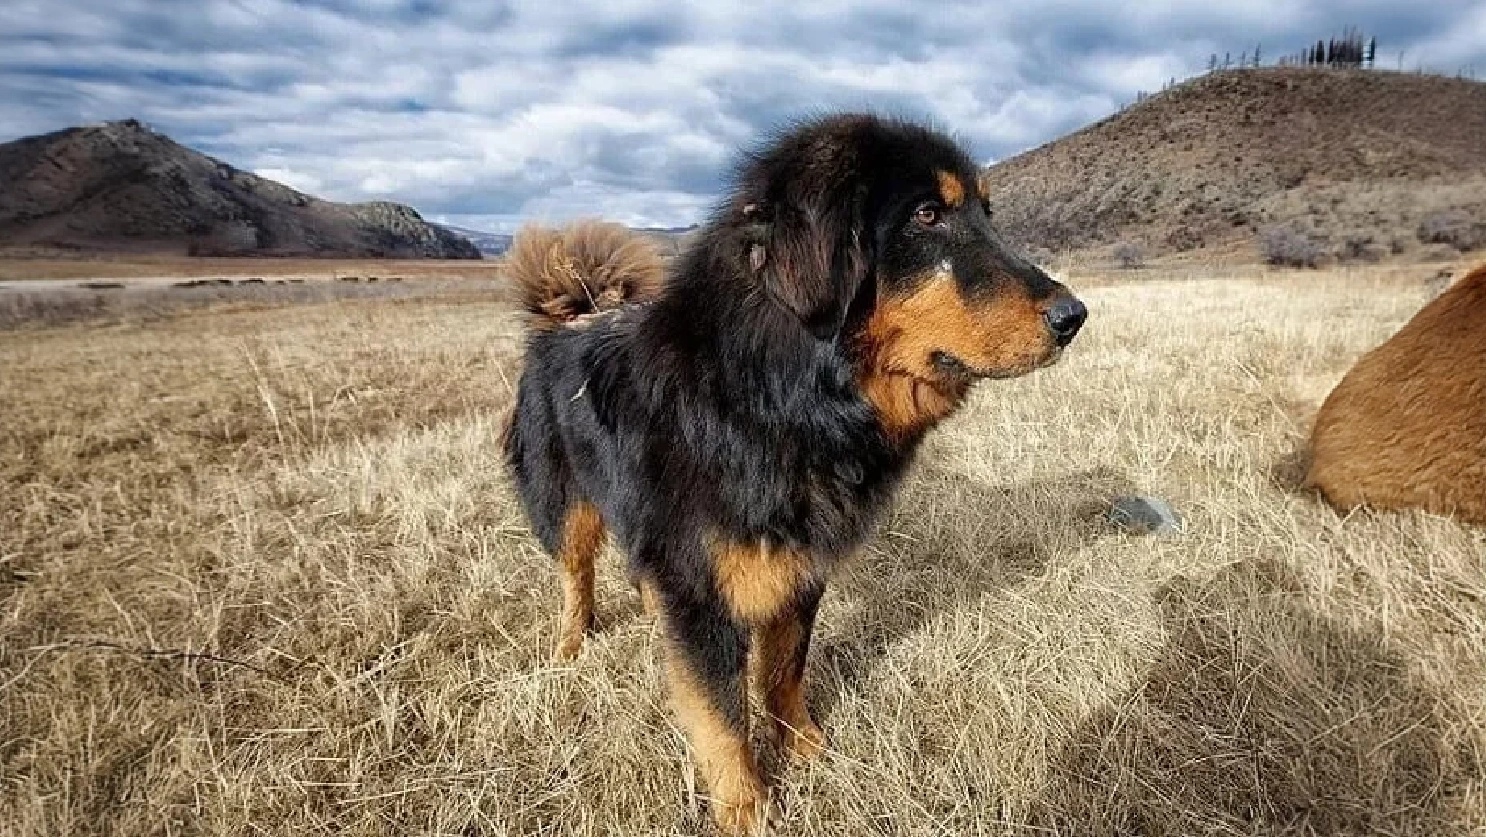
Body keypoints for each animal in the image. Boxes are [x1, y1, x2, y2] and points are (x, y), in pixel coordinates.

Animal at [505, 114, 1087, 832]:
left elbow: (784, 668)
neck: (773, 395)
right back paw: (569, 644)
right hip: (565, 504)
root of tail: (569, 314)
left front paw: (804, 747)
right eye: (927, 215)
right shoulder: (703, 592)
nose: (1074, 316)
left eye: (986, 212)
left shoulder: (797, 565)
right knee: (575, 574)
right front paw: (747, 807)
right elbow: (722, 716)